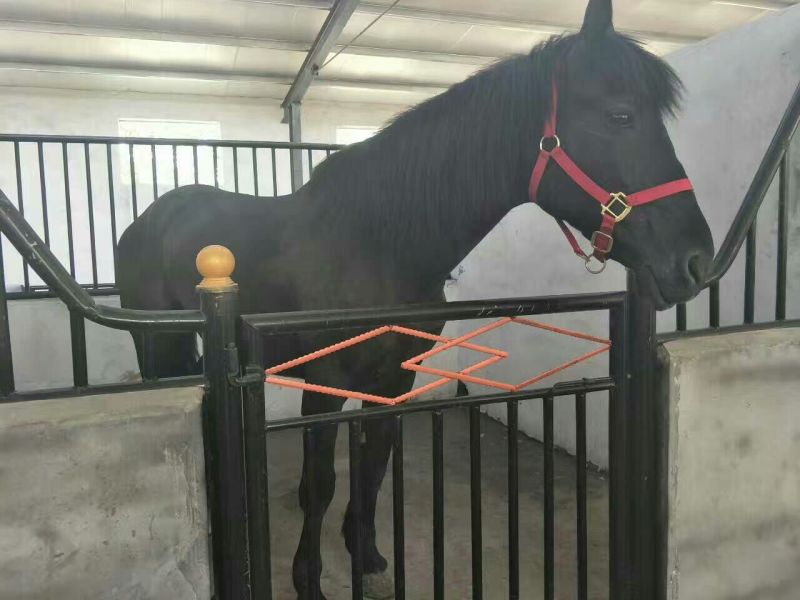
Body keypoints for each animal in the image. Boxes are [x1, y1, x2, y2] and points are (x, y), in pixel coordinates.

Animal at [116, 1, 714, 597]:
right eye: (621, 116)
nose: (697, 261)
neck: (378, 244)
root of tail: (153, 216)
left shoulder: (395, 380)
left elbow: (374, 465)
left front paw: (367, 553)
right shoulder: (325, 383)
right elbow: (322, 482)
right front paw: (308, 579)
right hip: (153, 345)